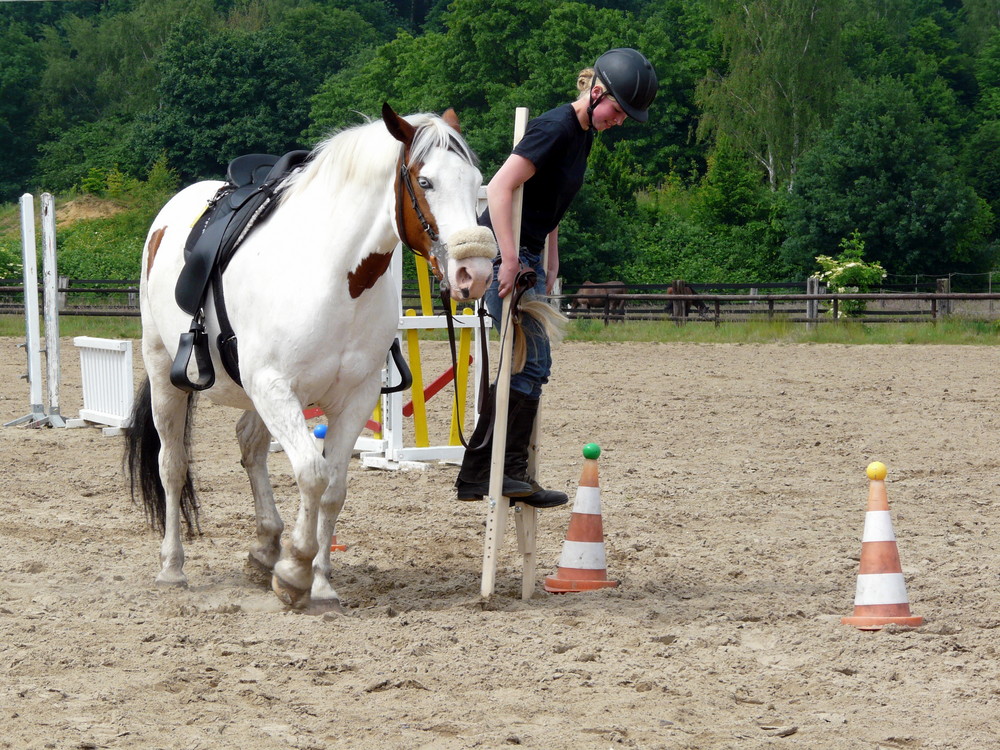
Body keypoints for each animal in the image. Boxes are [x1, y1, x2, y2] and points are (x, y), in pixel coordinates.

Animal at [125, 104, 496, 612]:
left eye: (476, 180)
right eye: (426, 182)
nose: (474, 272)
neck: (335, 274)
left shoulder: (353, 397)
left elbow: (334, 488)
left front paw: (319, 581)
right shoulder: (275, 386)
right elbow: (312, 475)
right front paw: (296, 571)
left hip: (256, 394)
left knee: (250, 445)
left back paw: (264, 548)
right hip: (167, 372)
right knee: (173, 465)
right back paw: (173, 567)